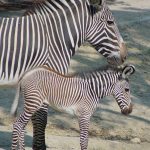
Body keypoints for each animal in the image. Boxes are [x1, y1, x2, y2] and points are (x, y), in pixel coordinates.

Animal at [0, 0, 126, 149]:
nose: (125, 55)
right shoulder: (45, 80)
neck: (53, 39)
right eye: (110, 22)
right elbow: (41, 119)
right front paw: (40, 147)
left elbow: (36, 119)